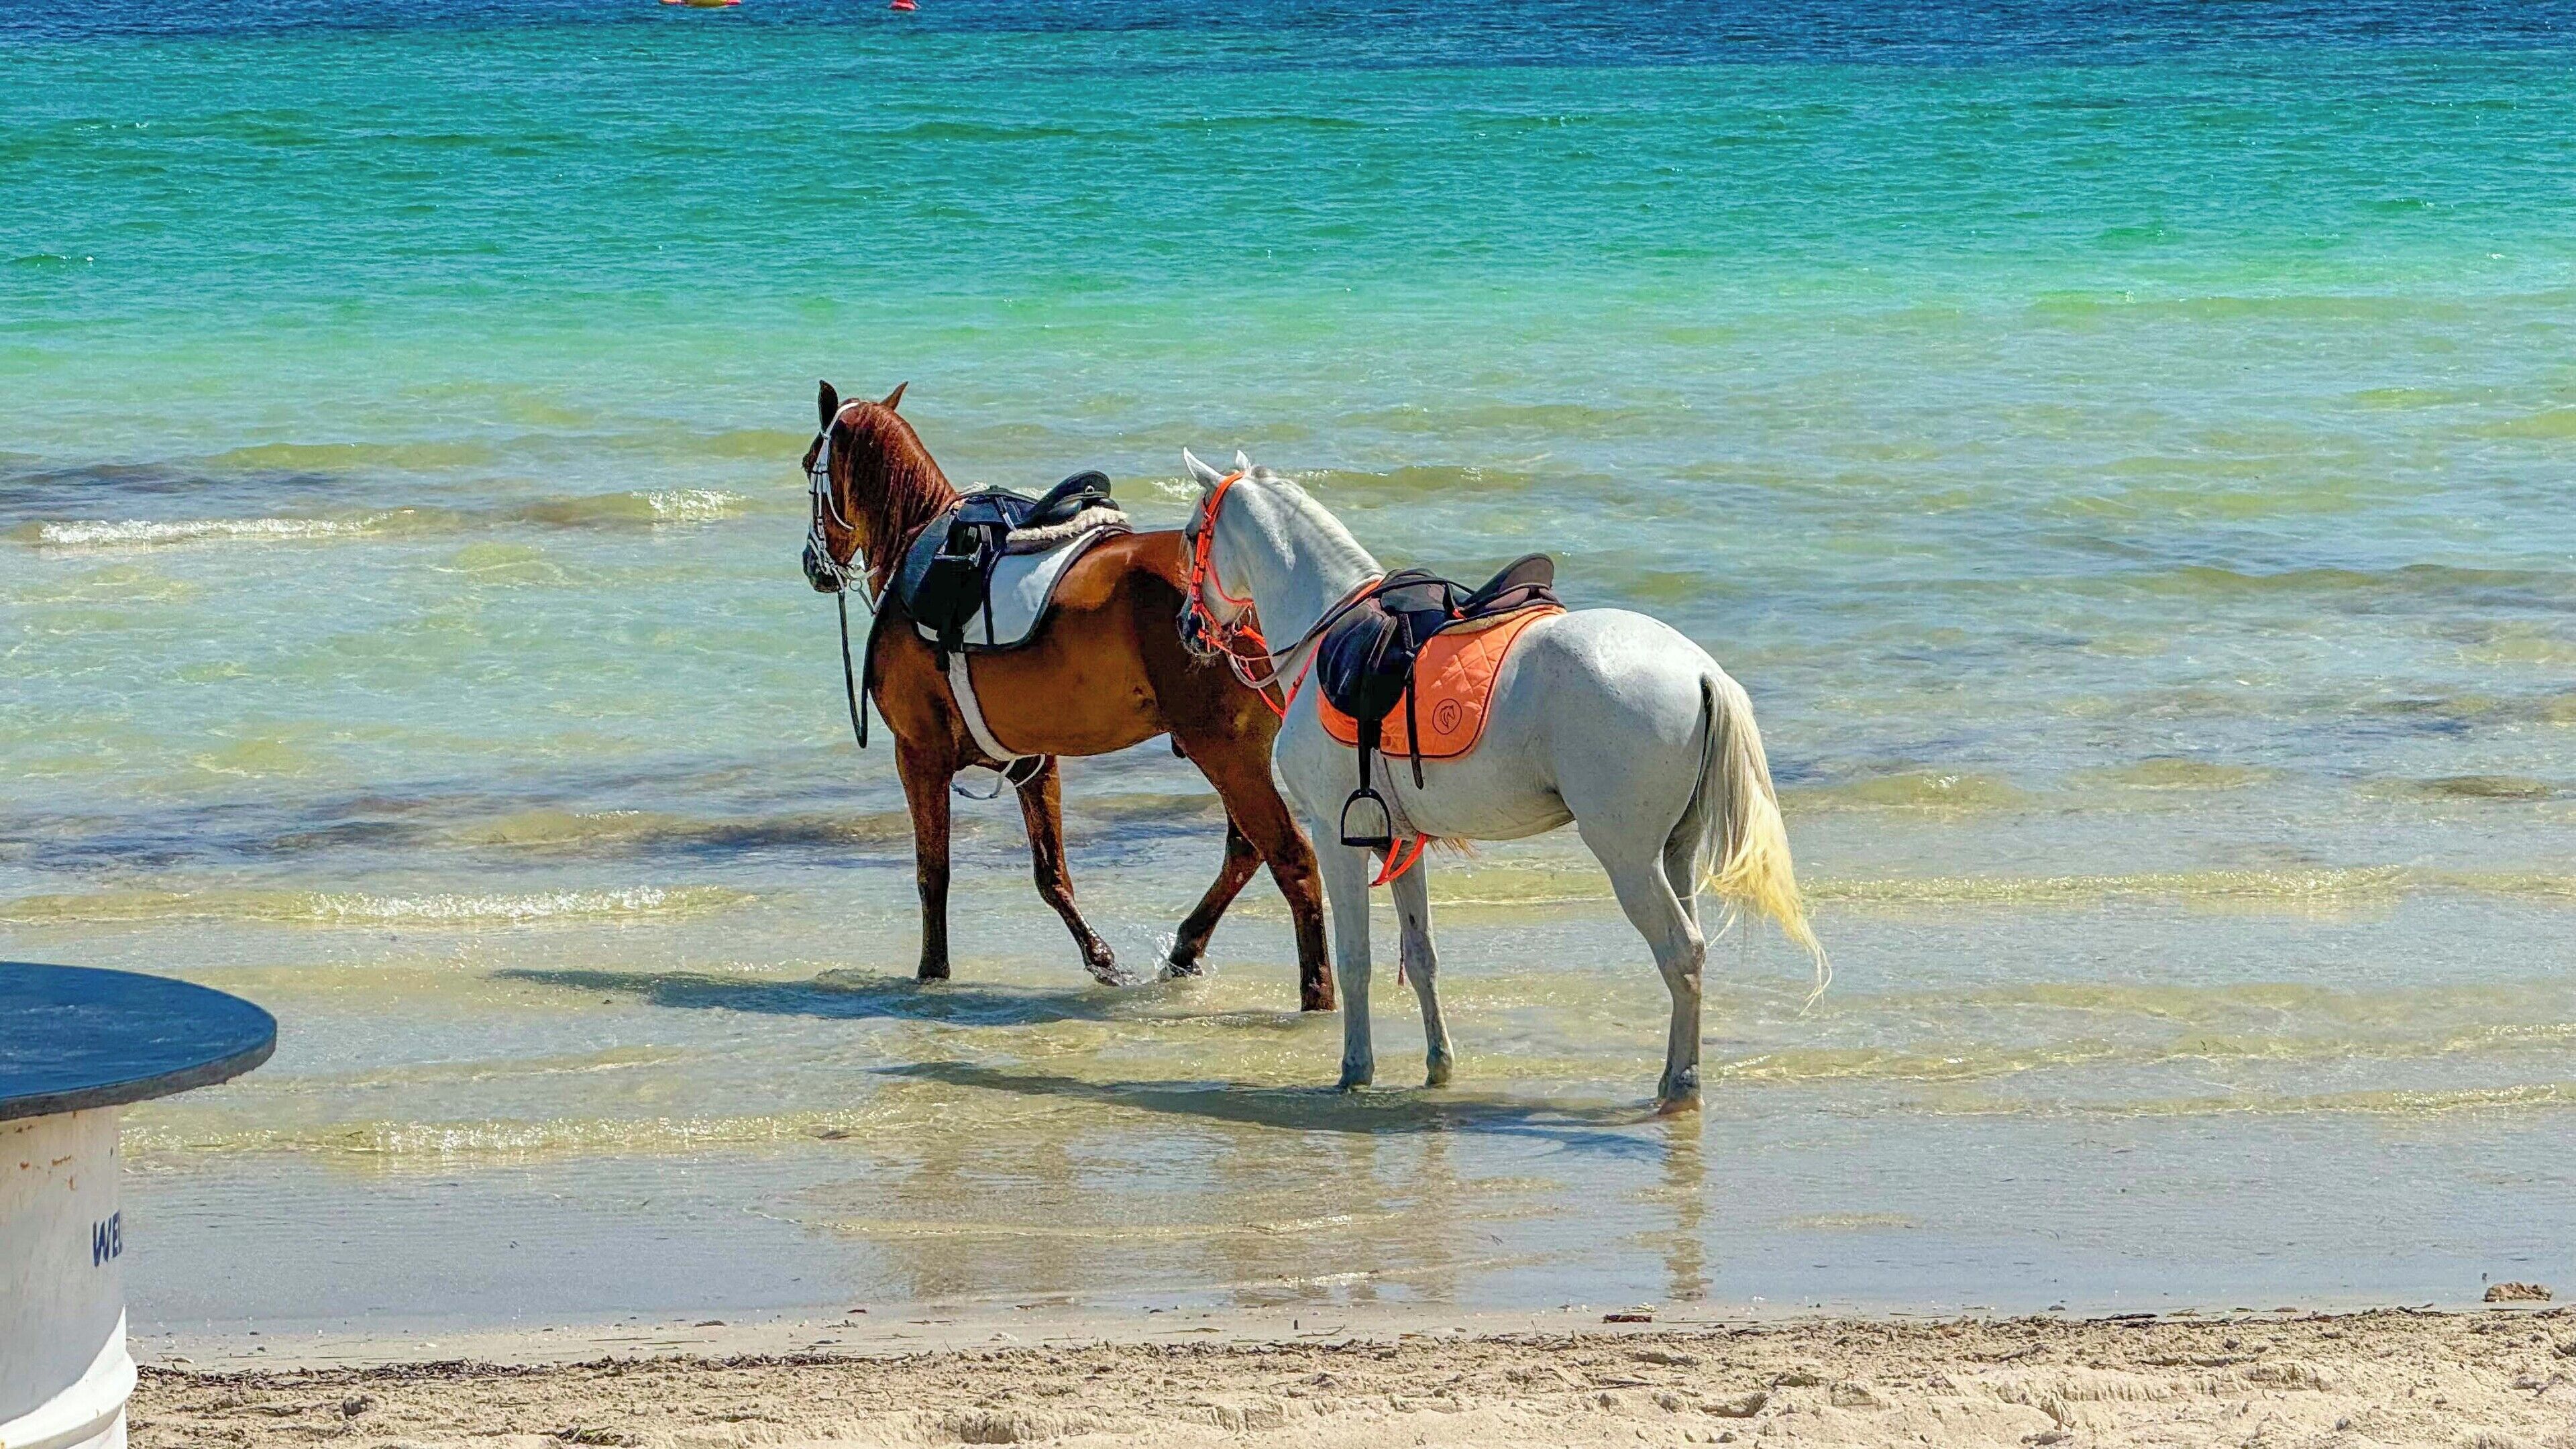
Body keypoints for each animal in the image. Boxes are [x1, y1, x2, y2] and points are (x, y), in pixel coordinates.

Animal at [799, 384, 1332, 1011]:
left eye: (808, 465)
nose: (813, 565)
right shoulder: (1033, 762)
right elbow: (1051, 874)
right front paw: (1101, 960)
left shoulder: (918, 754)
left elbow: (934, 872)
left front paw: (933, 971)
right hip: (1236, 753)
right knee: (1247, 852)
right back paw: (1186, 947)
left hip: (1224, 752)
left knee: (1290, 858)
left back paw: (1317, 992)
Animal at [1174, 449, 1824, 1109]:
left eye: (1191, 535)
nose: (1186, 627)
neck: (1328, 635)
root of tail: (1698, 670)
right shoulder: (1399, 844)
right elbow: (1422, 956)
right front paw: (1438, 1066)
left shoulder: (1337, 838)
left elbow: (1356, 960)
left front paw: (1356, 1071)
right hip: (1676, 851)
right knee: (1689, 949)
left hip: (1629, 859)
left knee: (1680, 952)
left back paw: (1681, 1085)